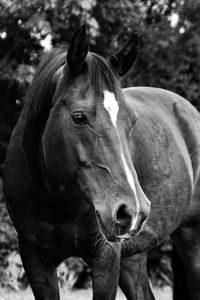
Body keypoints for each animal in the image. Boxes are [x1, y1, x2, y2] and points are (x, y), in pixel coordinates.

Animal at [3, 24, 200, 298]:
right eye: (78, 117)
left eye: (132, 120)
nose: (133, 210)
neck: (55, 198)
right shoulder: (35, 260)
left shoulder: (105, 259)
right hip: (132, 257)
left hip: (192, 240)